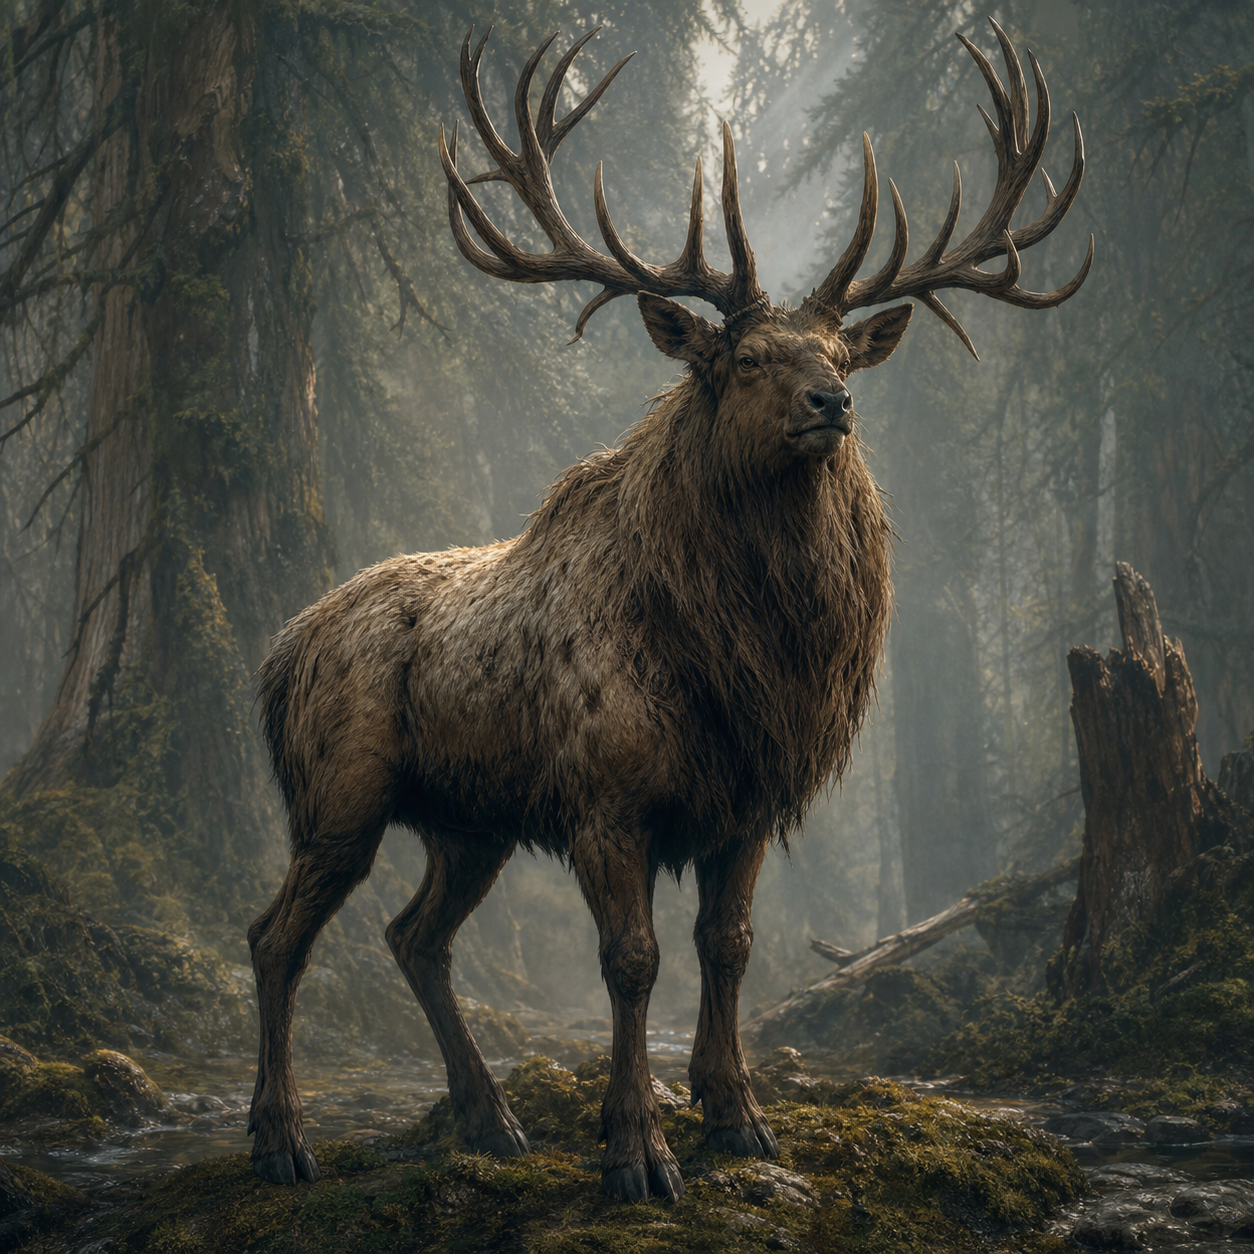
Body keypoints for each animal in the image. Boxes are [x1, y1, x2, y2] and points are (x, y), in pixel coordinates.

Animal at [246, 19, 1090, 1200]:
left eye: (838, 352)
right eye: (745, 358)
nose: (835, 402)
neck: (745, 667)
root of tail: (279, 652)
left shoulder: (750, 801)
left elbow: (726, 947)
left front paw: (737, 1116)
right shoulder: (607, 798)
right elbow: (631, 960)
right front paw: (636, 1149)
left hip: (469, 821)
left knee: (415, 936)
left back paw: (490, 1117)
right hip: (339, 795)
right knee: (276, 936)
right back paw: (282, 1137)